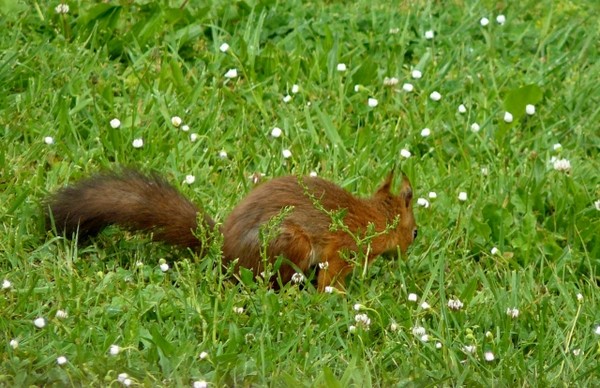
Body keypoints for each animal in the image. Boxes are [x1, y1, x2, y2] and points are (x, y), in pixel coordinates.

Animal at [45, 170, 418, 292]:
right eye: (414, 233)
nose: (407, 254)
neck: (373, 217)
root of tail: (223, 250)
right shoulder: (342, 249)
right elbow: (332, 277)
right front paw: (338, 297)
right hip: (289, 245)